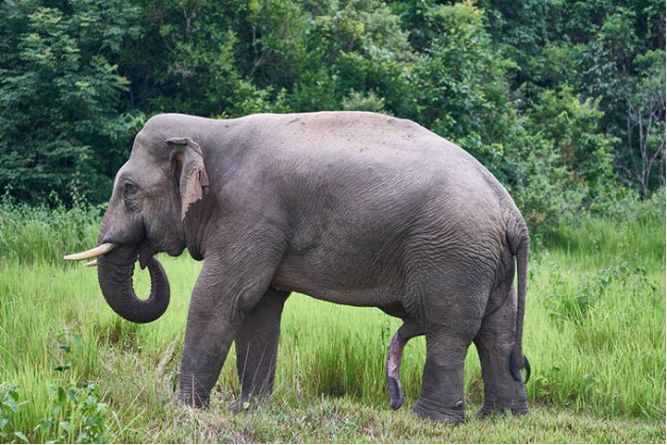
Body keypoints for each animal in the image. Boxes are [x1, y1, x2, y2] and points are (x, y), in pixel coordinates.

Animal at [64, 109, 532, 422]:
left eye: (128, 189)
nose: (146, 259)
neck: (212, 127)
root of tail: (511, 212)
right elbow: (259, 307)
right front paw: (247, 409)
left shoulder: (251, 213)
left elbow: (222, 297)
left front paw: (184, 410)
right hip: (486, 261)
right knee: (496, 330)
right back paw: (503, 417)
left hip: (452, 253)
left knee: (448, 329)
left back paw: (431, 419)